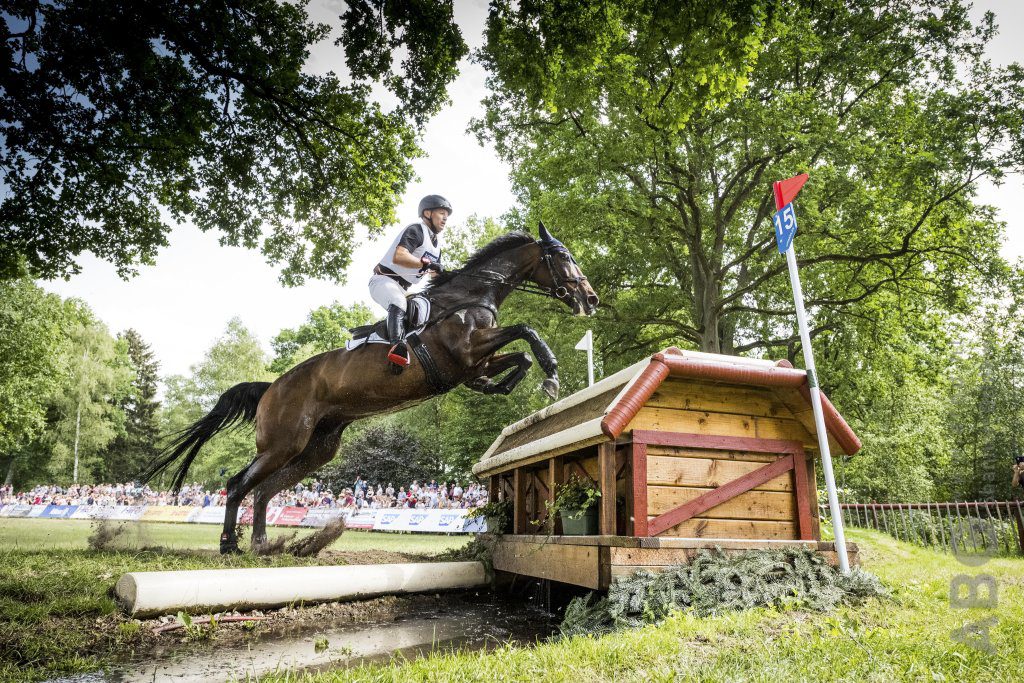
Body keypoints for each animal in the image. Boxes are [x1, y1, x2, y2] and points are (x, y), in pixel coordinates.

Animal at [143, 222, 599, 553]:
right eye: (563, 256)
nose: (590, 299)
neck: (471, 296)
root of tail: (272, 387)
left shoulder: (472, 365)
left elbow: (519, 356)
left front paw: (512, 386)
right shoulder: (467, 351)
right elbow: (527, 331)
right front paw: (551, 374)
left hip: (316, 448)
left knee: (264, 492)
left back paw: (262, 545)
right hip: (283, 443)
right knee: (240, 485)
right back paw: (229, 545)